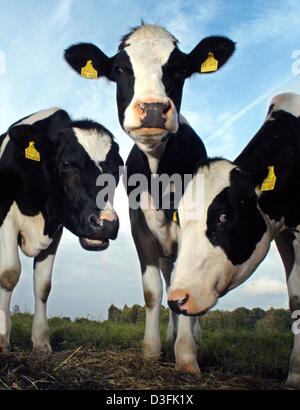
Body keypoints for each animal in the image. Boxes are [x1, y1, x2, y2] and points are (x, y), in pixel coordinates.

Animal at [0, 107, 123, 350]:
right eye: (66, 164)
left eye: (117, 169)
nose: (106, 224)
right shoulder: (5, 218)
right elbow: (9, 273)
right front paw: (2, 339)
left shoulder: (55, 229)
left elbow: (43, 285)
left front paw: (41, 342)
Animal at [64, 24, 236, 374]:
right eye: (119, 69)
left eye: (180, 69)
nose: (154, 108)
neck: (159, 177)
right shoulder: (137, 226)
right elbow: (154, 291)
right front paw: (152, 350)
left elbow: (186, 290)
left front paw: (186, 357)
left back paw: (193, 338)